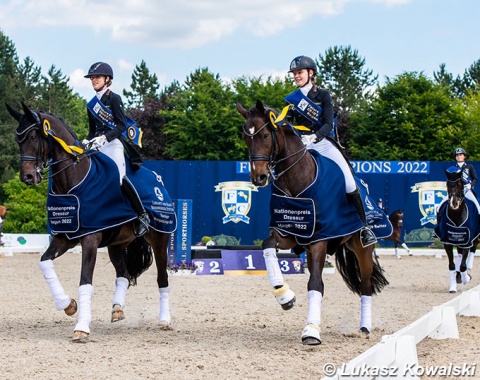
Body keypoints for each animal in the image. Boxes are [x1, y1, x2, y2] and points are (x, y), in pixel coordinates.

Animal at [6, 103, 175, 342]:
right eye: (17, 139)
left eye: (32, 136)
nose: (27, 177)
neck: (73, 181)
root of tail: (159, 183)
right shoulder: (65, 237)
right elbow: (44, 262)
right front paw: (68, 305)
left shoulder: (90, 239)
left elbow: (85, 281)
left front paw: (81, 327)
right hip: (117, 245)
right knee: (123, 275)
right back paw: (117, 309)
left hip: (160, 239)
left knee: (162, 279)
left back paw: (164, 320)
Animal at [236, 100, 390, 344]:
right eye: (245, 137)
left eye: (265, 136)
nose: (258, 177)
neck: (296, 181)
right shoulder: (290, 234)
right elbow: (267, 246)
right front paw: (284, 295)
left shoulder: (319, 240)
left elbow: (315, 284)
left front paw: (311, 331)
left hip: (362, 248)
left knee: (365, 286)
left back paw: (364, 328)